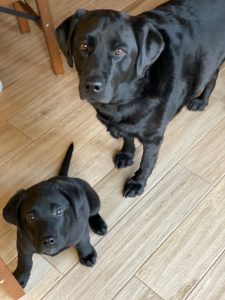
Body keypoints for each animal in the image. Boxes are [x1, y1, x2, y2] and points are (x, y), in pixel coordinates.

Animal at [2, 144, 107, 288]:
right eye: (30, 217)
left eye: (58, 211)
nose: (48, 241)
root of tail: (67, 178)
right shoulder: (23, 244)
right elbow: (25, 262)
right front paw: (20, 277)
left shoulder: (81, 229)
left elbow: (84, 241)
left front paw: (87, 254)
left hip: (94, 201)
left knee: (93, 212)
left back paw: (99, 224)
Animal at [55, 0, 225, 198]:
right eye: (83, 47)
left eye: (119, 51)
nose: (91, 86)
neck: (125, 100)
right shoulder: (126, 126)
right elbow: (128, 139)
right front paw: (127, 155)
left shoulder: (153, 138)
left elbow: (146, 164)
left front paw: (137, 183)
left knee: (212, 78)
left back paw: (201, 101)